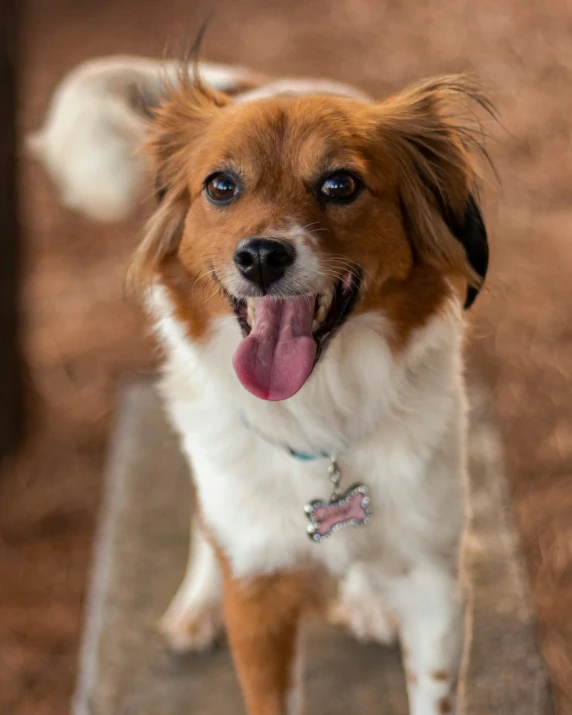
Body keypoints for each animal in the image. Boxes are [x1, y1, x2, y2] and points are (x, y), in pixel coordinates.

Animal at [32, 54, 496, 715]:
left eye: (340, 185)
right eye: (221, 186)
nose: (260, 257)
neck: (320, 415)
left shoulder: (438, 590)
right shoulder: (258, 601)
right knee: (206, 515)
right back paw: (196, 602)